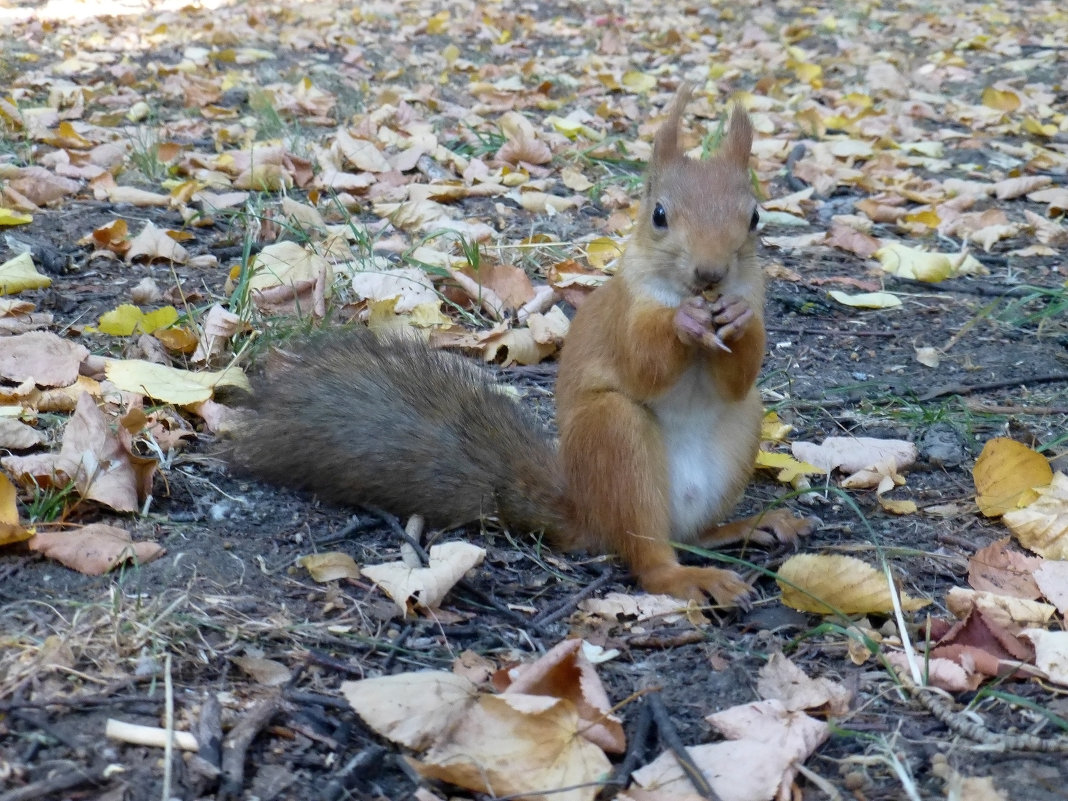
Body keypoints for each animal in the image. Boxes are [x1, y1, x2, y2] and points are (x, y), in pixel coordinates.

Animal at [233, 86, 811, 602]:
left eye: (755, 216)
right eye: (659, 215)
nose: (710, 276)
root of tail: (588, 517)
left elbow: (739, 375)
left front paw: (739, 319)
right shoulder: (624, 317)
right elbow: (644, 363)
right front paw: (684, 323)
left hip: (743, 426)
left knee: (690, 532)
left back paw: (745, 527)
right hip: (615, 438)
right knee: (647, 555)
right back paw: (685, 576)